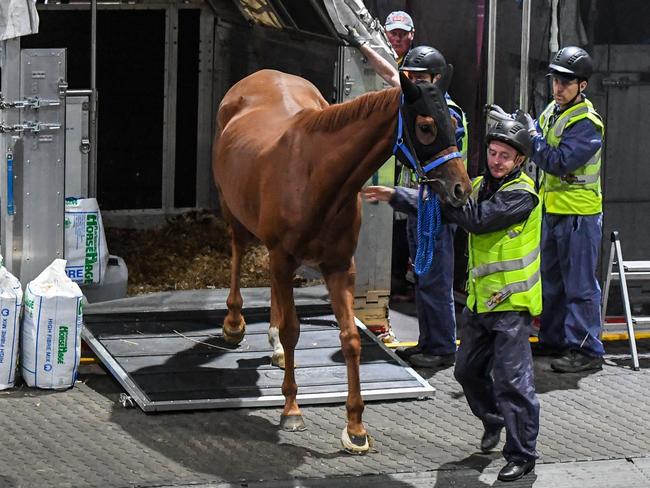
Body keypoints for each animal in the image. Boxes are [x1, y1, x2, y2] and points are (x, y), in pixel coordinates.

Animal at [214, 69, 470, 454]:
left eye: (454, 125)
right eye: (425, 126)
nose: (461, 189)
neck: (315, 175)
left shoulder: (339, 267)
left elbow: (350, 339)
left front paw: (355, 428)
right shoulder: (284, 256)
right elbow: (293, 331)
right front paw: (292, 409)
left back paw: (274, 347)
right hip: (237, 214)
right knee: (238, 250)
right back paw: (234, 324)